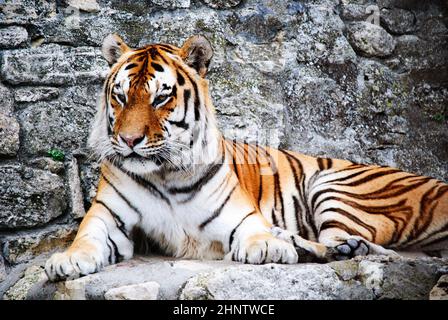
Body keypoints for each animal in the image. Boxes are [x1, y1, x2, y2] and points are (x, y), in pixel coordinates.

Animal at [45, 33, 448, 282]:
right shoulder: (107, 218)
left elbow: (254, 233)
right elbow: (85, 237)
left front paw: (266, 246)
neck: (165, 174)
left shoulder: (240, 216)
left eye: (161, 97)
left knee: (379, 249)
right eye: (121, 96)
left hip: (334, 186)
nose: (129, 140)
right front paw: (66, 259)